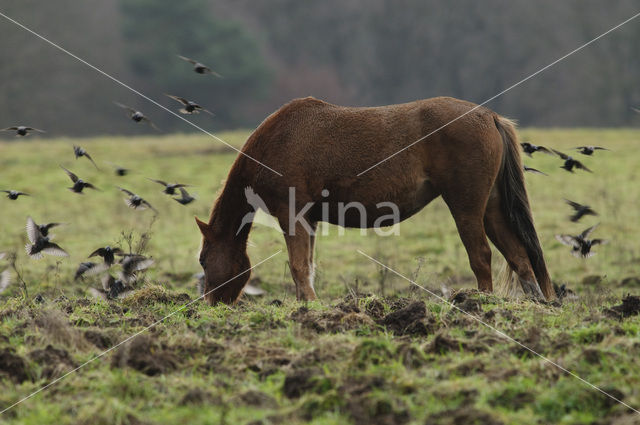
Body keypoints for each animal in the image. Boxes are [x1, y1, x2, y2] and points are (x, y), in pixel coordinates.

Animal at [195, 96, 556, 304]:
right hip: (492, 208)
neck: (275, 142)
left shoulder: (292, 215)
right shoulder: (308, 220)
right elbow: (307, 266)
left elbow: (298, 267)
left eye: (203, 260)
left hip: (466, 207)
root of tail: (490, 117)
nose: (210, 304)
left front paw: (309, 307)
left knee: (481, 256)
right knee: (519, 256)